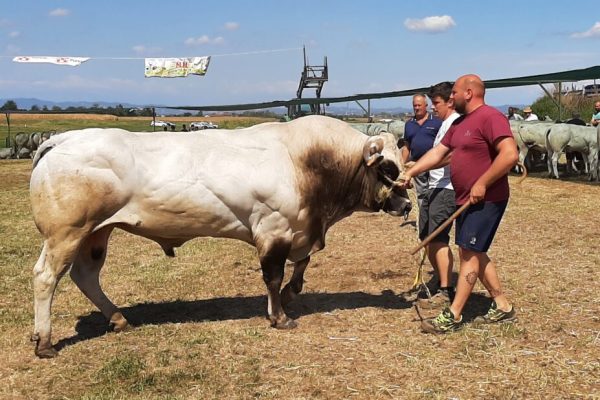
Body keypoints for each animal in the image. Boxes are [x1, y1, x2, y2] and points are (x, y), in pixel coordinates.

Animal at [28, 114, 412, 358]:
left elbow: (301, 266)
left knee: (84, 276)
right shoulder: (273, 230)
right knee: (46, 277)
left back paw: (117, 319)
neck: (308, 161)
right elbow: (273, 277)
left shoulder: (300, 230)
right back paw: (45, 342)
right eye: (387, 167)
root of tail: (64, 138)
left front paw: (291, 294)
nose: (407, 204)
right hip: (67, 233)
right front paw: (279, 316)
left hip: (95, 233)